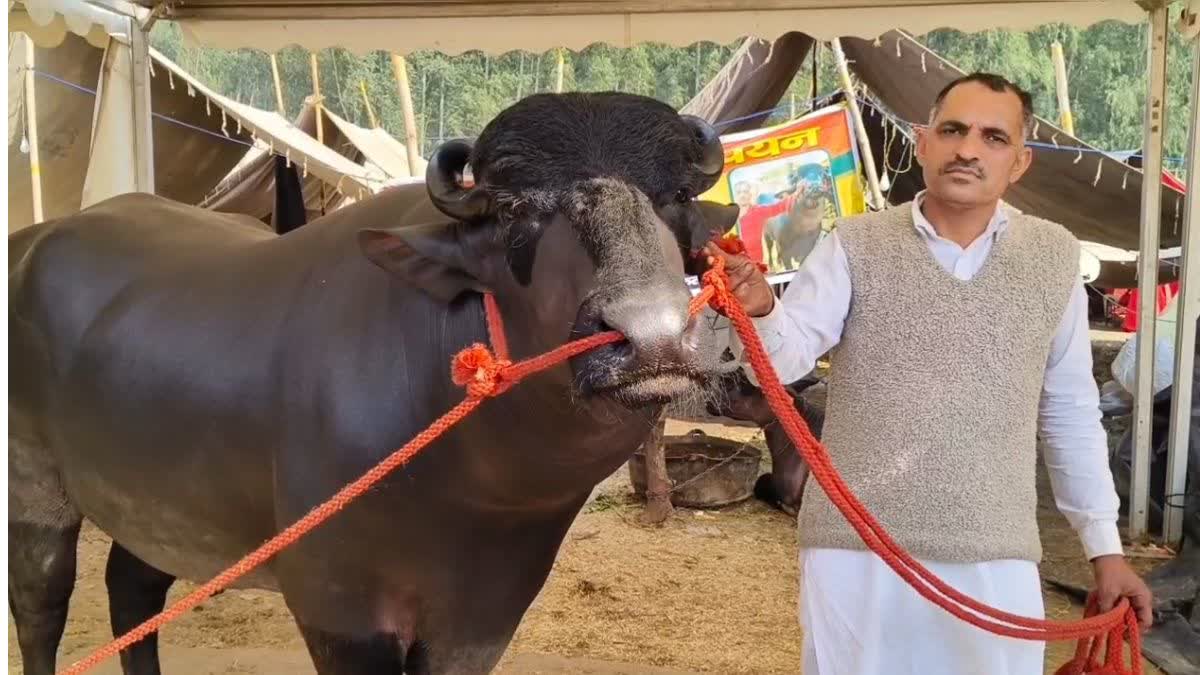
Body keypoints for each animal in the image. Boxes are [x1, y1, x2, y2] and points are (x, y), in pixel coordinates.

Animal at [9, 91, 742, 675]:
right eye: (513, 209)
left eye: (677, 196)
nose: (652, 335)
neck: (462, 487)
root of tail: (30, 243)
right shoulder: (340, 607)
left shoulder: (485, 614)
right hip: (35, 485)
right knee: (40, 601)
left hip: (158, 500)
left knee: (132, 589)